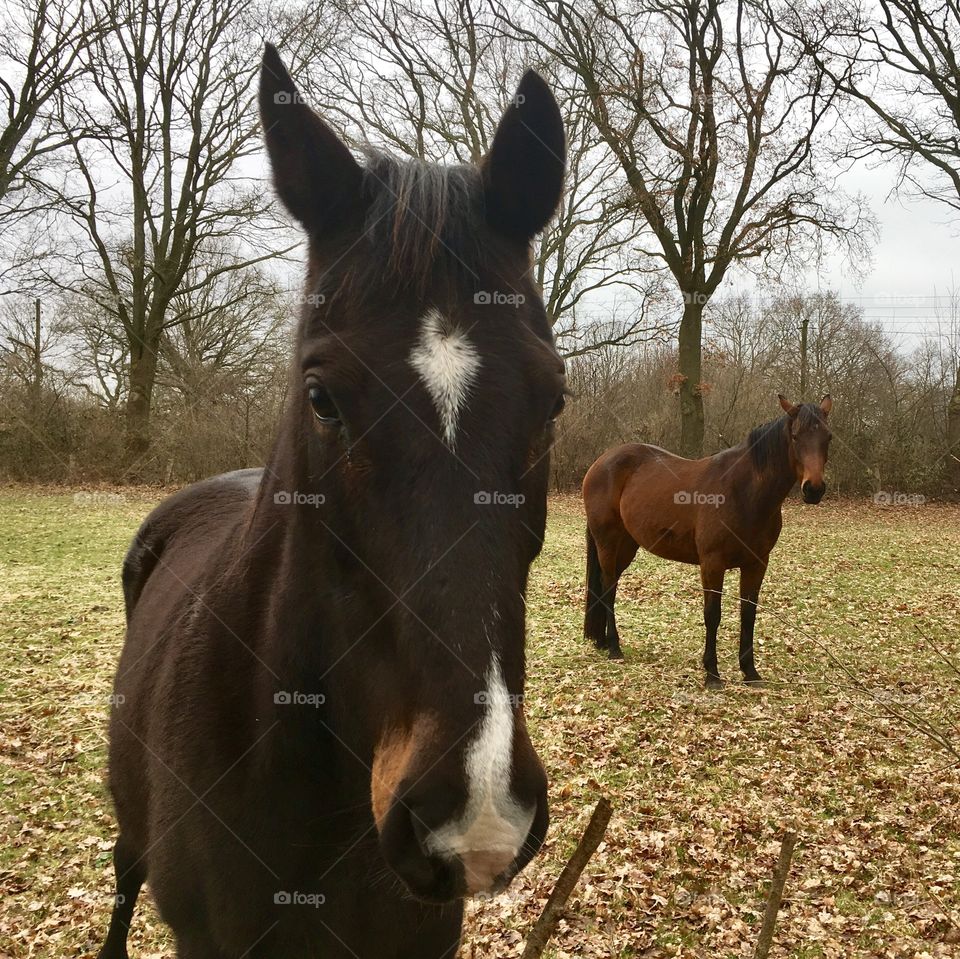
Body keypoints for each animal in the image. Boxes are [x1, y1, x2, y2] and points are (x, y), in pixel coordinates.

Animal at [582, 394, 832, 685]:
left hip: (627, 545)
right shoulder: (712, 564)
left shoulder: (756, 564)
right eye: (794, 436)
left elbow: (748, 614)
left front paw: (750, 671)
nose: (814, 489)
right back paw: (614, 647)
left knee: (607, 585)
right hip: (608, 543)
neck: (744, 493)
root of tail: (601, 463)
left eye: (828, 437)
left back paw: (602, 641)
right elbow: (713, 615)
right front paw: (712, 673)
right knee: (608, 587)